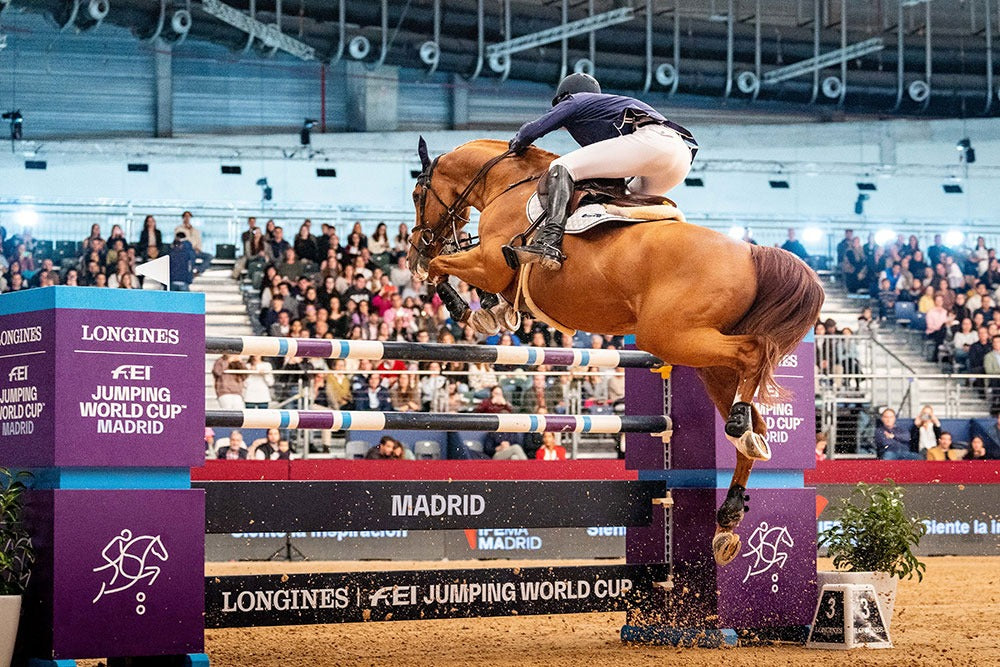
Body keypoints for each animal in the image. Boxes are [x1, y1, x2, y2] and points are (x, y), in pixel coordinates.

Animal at [408, 137, 824, 565]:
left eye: (417, 195)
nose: (413, 247)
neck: (506, 183)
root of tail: (752, 255)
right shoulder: (492, 270)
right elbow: (466, 278)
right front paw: (490, 311)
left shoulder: (490, 263)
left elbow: (442, 266)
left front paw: (464, 307)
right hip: (705, 361)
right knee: (757, 422)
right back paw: (729, 513)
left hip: (671, 338)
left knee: (754, 354)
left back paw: (738, 433)